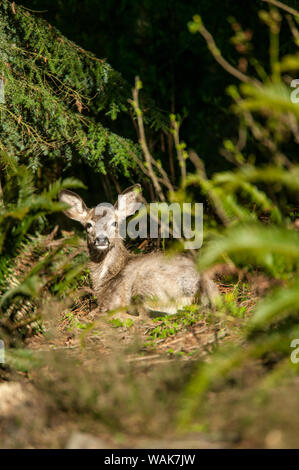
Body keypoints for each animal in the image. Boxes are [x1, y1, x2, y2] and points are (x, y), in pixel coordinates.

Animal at [59, 185, 218, 316]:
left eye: (114, 223)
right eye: (88, 225)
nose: (102, 239)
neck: (104, 280)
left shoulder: (113, 299)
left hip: (147, 285)